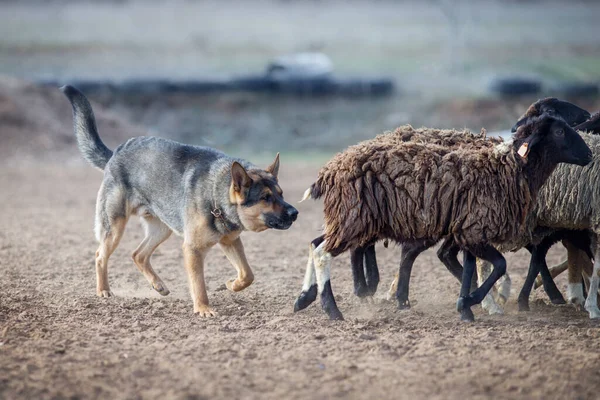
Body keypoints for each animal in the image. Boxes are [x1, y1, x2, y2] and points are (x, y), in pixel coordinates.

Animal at [62, 86, 298, 318]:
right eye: (265, 198)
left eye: (281, 194)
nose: (295, 213)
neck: (216, 195)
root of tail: (115, 153)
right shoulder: (192, 249)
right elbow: (199, 284)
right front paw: (203, 309)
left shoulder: (230, 242)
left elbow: (248, 274)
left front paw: (232, 284)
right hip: (115, 227)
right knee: (100, 255)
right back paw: (103, 291)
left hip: (162, 229)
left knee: (138, 255)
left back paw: (158, 285)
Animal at [296, 113, 592, 322]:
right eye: (559, 131)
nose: (589, 155)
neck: (506, 168)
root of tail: (330, 170)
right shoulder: (475, 229)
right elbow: (499, 265)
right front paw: (473, 301)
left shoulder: (469, 228)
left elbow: (471, 267)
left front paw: (467, 307)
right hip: (353, 218)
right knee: (323, 253)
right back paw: (332, 309)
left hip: (351, 219)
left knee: (316, 243)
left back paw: (306, 297)